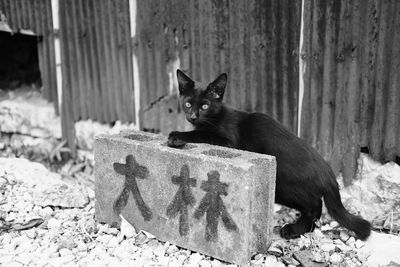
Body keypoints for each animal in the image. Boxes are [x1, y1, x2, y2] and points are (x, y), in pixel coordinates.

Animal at [166, 69, 372, 241]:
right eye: (187, 103)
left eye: (205, 106)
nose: (193, 116)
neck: (217, 116)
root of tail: (328, 172)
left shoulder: (228, 141)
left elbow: (202, 134)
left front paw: (176, 136)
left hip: (283, 186)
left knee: (313, 205)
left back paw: (293, 230)